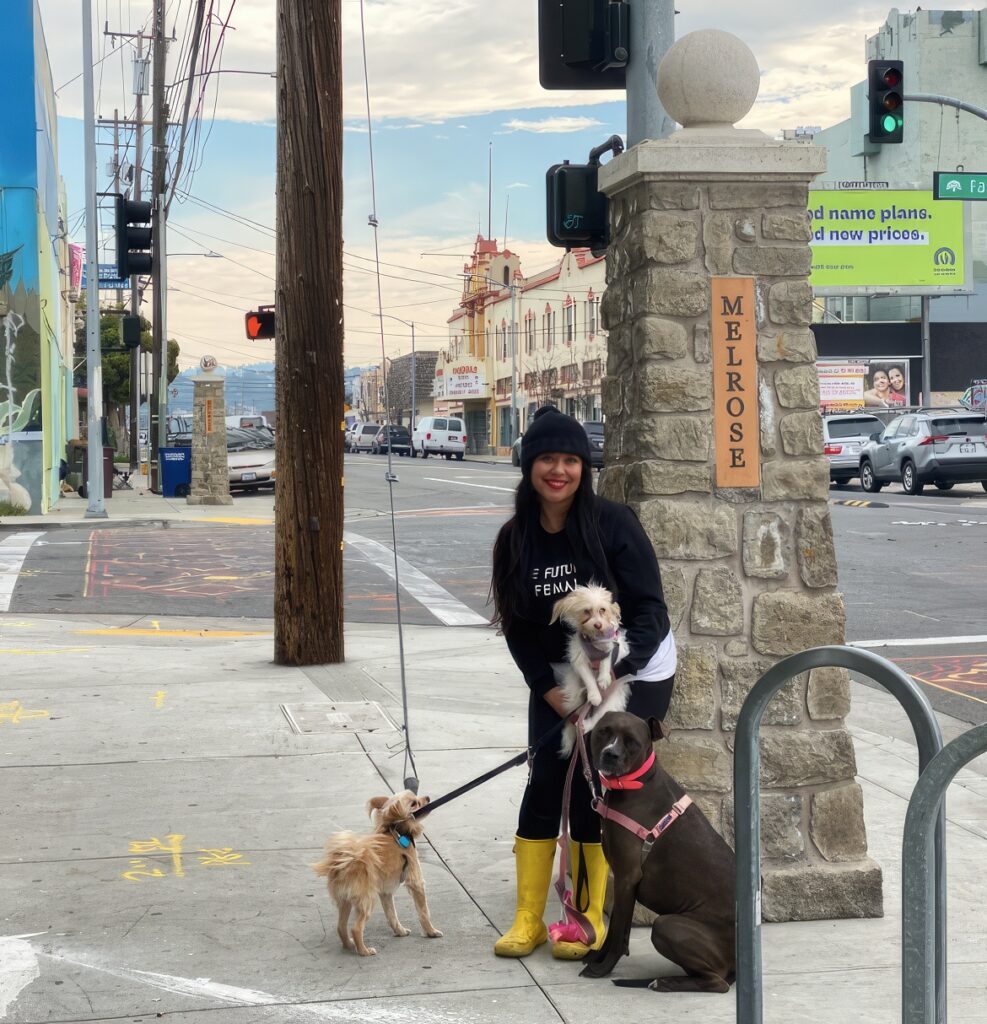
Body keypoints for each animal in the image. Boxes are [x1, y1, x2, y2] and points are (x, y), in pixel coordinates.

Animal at [313, 790, 444, 950]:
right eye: (414, 803)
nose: (427, 798)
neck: (397, 830)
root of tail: (345, 862)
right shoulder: (416, 881)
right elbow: (424, 911)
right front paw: (431, 932)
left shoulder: (386, 893)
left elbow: (391, 914)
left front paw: (400, 931)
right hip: (367, 899)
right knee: (356, 928)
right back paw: (364, 951)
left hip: (345, 900)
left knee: (341, 927)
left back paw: (349, 945)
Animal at [552, 581, 626, 757]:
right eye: (586, 611)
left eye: (603, 610)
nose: (598, 625)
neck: (595, 640)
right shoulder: (579, 659)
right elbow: (589, 679)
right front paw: (594, 694)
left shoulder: (613, 646)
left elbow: (606, 660)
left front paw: (604, 678)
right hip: (574, 696)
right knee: (573, 717)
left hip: (611, 703)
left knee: (596, 719)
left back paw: (585, 726)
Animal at [581, 712, 737, 991]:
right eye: (604, 732)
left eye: (632, 742)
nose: (611, 754)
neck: (635, 784)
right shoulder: (623, 879)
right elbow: (617, 931)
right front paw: (596, 958)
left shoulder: (627, 877)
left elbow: (618, 934)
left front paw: (602, 969)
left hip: (666, 925)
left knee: (717, 983)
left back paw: (665, 982)